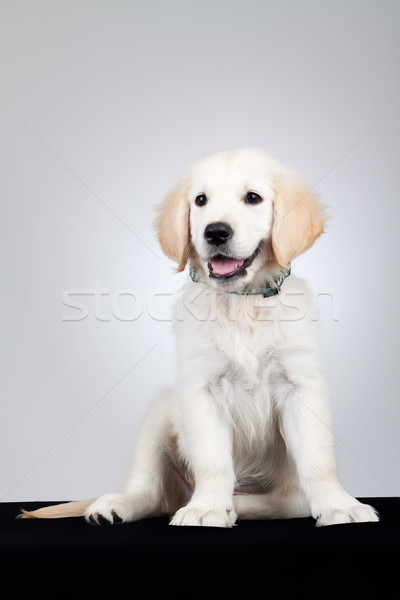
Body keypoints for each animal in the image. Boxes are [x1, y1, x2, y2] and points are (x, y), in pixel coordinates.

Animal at [21, 148, 378, 528]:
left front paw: (338, 505)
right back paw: (122, 505)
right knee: (149, 492)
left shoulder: (300, 384)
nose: (216, 232)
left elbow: (318, 458)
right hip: (159, 416)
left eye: (253, 198)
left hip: (287, 492)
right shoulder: (201, 388)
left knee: (282, 503)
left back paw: (237, 506)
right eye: (201, 200)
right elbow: (213, 460)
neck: (241, 303)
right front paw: (206, 509)